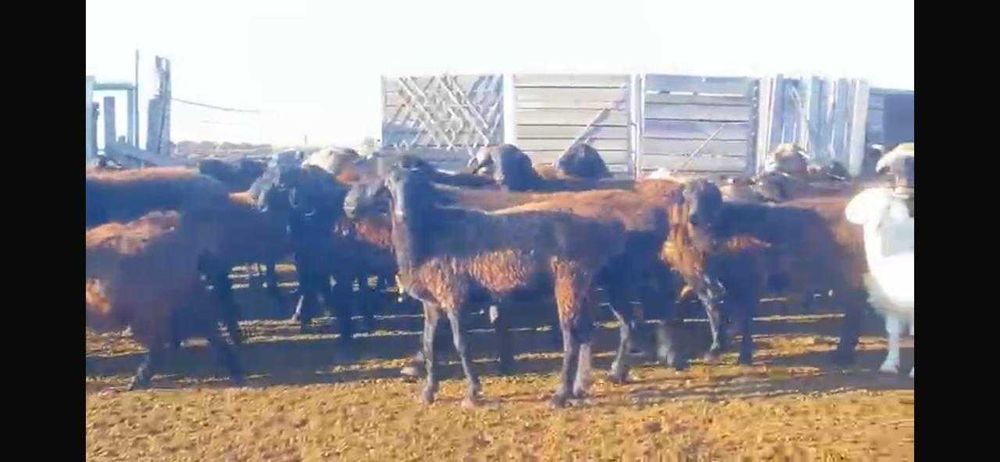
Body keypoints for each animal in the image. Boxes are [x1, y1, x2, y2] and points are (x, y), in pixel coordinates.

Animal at [384, 166, 627, 408]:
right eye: (390, 185)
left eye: (417, 184)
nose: (402, 214)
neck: (431, 233)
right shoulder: (432, 302)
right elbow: (429, 344)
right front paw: (428, 392)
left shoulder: (455, 295)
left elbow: (461, 344)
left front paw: (472, 393)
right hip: (581, 286)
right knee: (585, 332)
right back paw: (578, 389)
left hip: (568, 282)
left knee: (571, 337)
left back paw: (560, 395)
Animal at [845, 187, 914, 378]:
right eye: (866, 203)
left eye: (887, 207)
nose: (875, 224)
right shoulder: (892, 302)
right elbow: (892, 331)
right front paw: (889, 364)